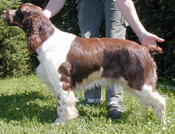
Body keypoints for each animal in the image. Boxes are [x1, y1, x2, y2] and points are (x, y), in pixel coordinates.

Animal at [3, 3, 165, 124]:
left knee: (160, 101)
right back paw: (142, 117)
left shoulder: (62, 82)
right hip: (133, 83)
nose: (4, 11)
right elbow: (60, 105)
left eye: (19, 10)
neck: (47, 39)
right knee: (147, 102)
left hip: (140, 82)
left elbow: (64, 104)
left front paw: (61, 122)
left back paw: (161, 124)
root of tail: (145, 48)